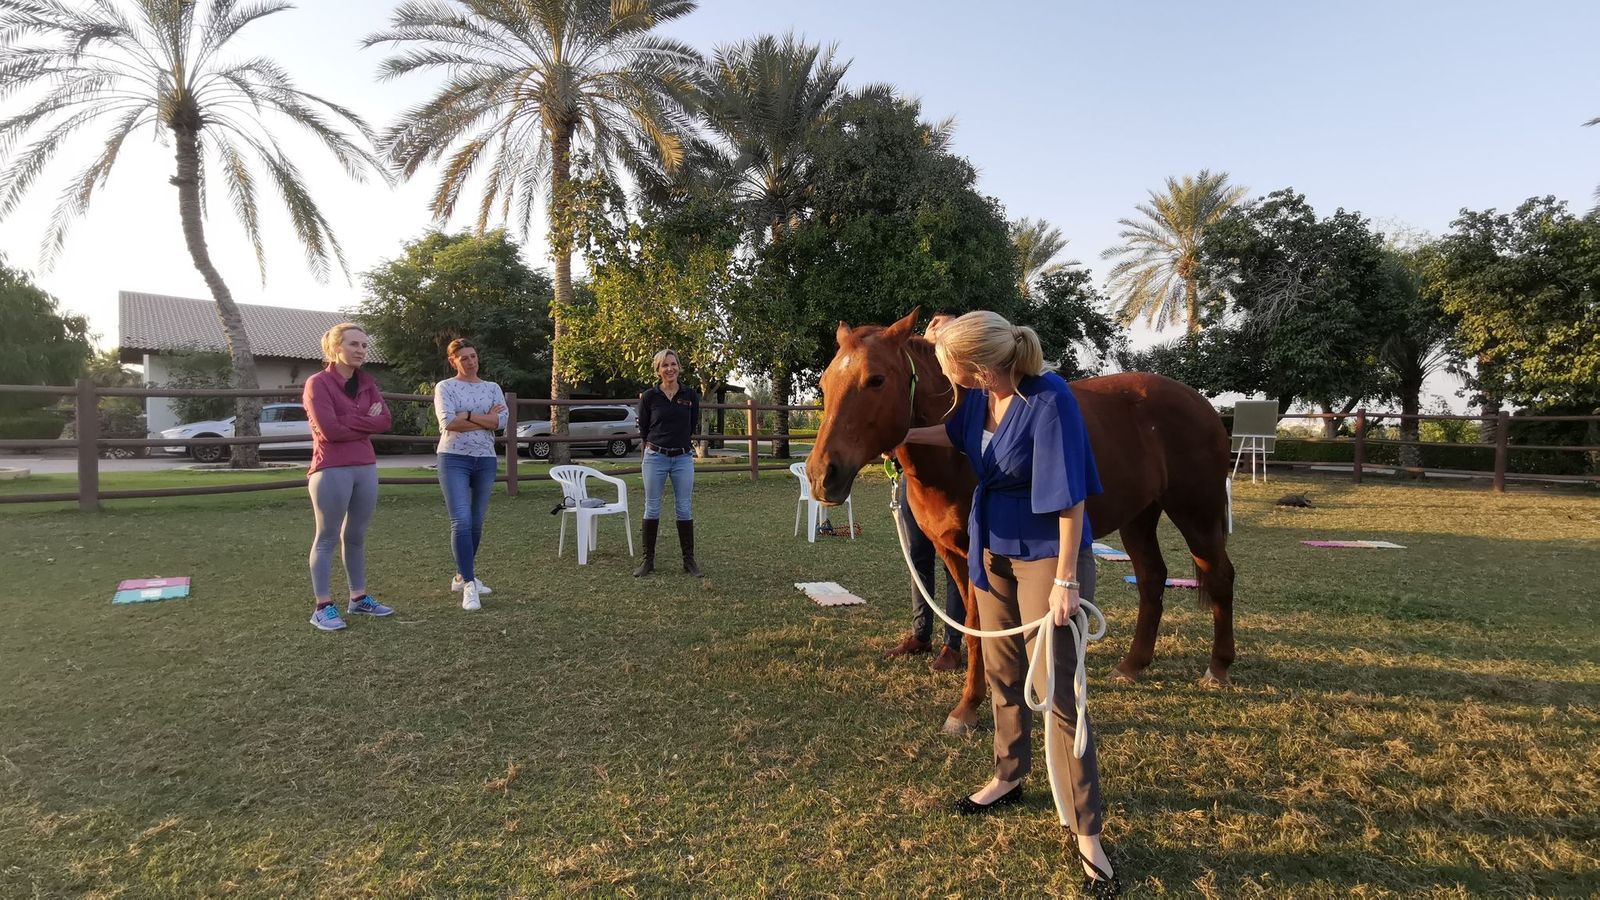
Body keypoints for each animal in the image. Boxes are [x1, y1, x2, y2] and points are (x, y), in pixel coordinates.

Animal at [812, 312, 1235, 733]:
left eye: (876, 380)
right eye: (825, 382)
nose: (821, 475)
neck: (952, 458)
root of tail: (1202, 404)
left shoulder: (978, 558)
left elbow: (978, 628)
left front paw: (967, 708)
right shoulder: (950, 553)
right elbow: (975, 630)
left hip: (1197, 514)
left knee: (1219, 576)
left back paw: (1217, 669)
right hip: (1138, 518)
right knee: (1151, 578)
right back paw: (1132, 666)